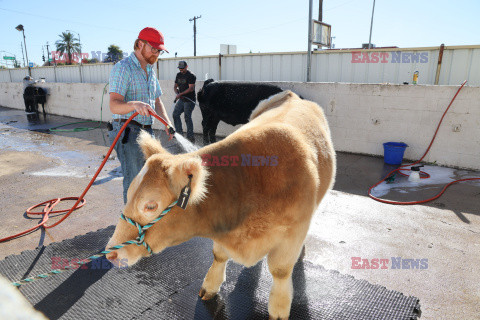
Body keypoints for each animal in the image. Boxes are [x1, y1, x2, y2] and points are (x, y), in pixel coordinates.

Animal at [107, 90, 336, 320]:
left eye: (151, 206)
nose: (110, 254)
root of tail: (291, 95)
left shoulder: (293, 234)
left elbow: (280, 271)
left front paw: (279, 308)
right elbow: (218, 255)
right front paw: (210, 286)